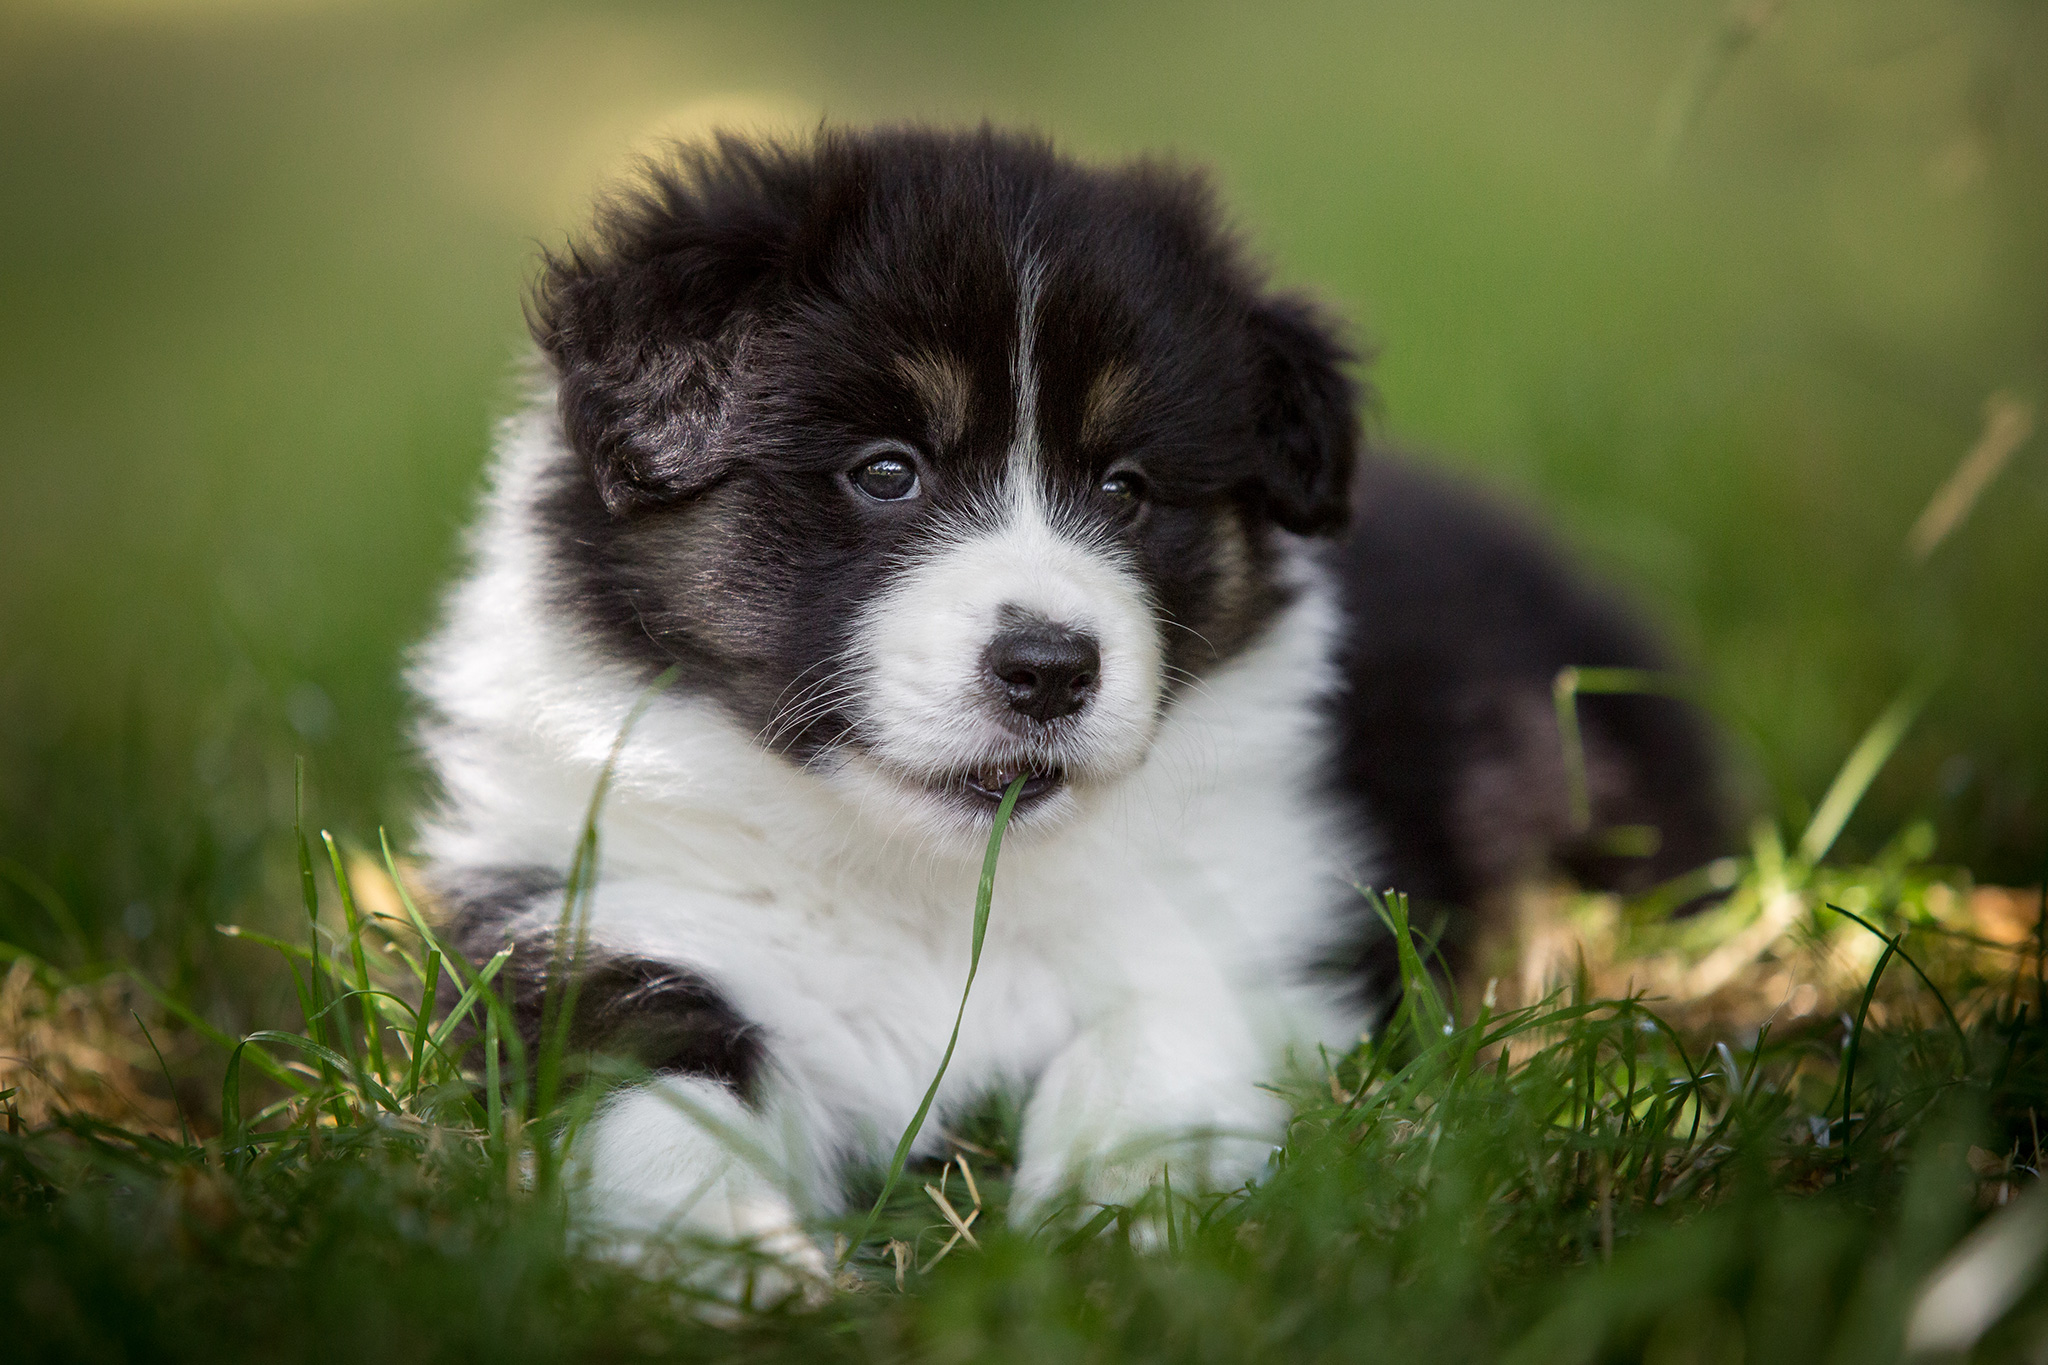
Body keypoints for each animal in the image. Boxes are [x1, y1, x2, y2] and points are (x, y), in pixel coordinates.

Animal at [415, 125, 1728, 1285]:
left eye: (1125, 487)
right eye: (885, 471)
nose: (1049, 669)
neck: (931, 878)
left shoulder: (1269, 912)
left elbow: (1159, 1032)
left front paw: (1116, 1227)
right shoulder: (607, 921)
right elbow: (649, 1103)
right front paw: (720, 1268)